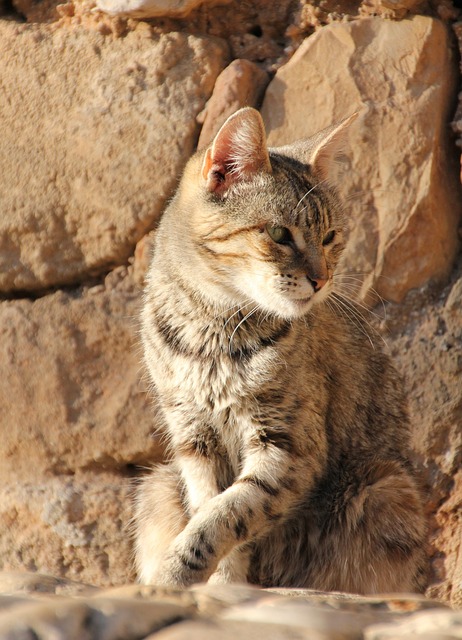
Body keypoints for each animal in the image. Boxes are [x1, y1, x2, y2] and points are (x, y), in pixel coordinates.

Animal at [133, 107, 426, 592]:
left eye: (330, 237)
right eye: (278, 233)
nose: (322, 279)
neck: (212, 331)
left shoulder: (288, 445)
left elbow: (227, 513)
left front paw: (181, 570)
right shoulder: (194, 437)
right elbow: (211, 509)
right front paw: (214, 584)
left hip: (384, 489)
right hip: (158, 484)